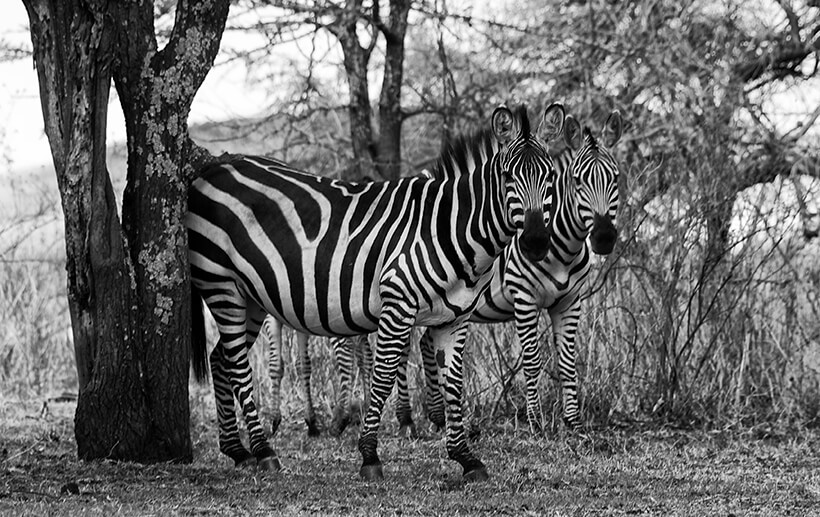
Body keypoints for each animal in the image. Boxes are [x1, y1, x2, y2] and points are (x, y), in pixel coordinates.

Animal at [188, 102, 568, 480]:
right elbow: (384, 375)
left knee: (220, 359)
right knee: (236, 364)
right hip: (222, 283)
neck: (449, 229)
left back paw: (237, 450)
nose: (536, 243)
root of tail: (214, 168)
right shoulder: (398, 304)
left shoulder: (455, 319)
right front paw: (370, 454)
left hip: (251, 296)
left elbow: (454, 384)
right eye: (507, 177)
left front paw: (465, 457)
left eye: (550, 177)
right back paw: (264, 451)